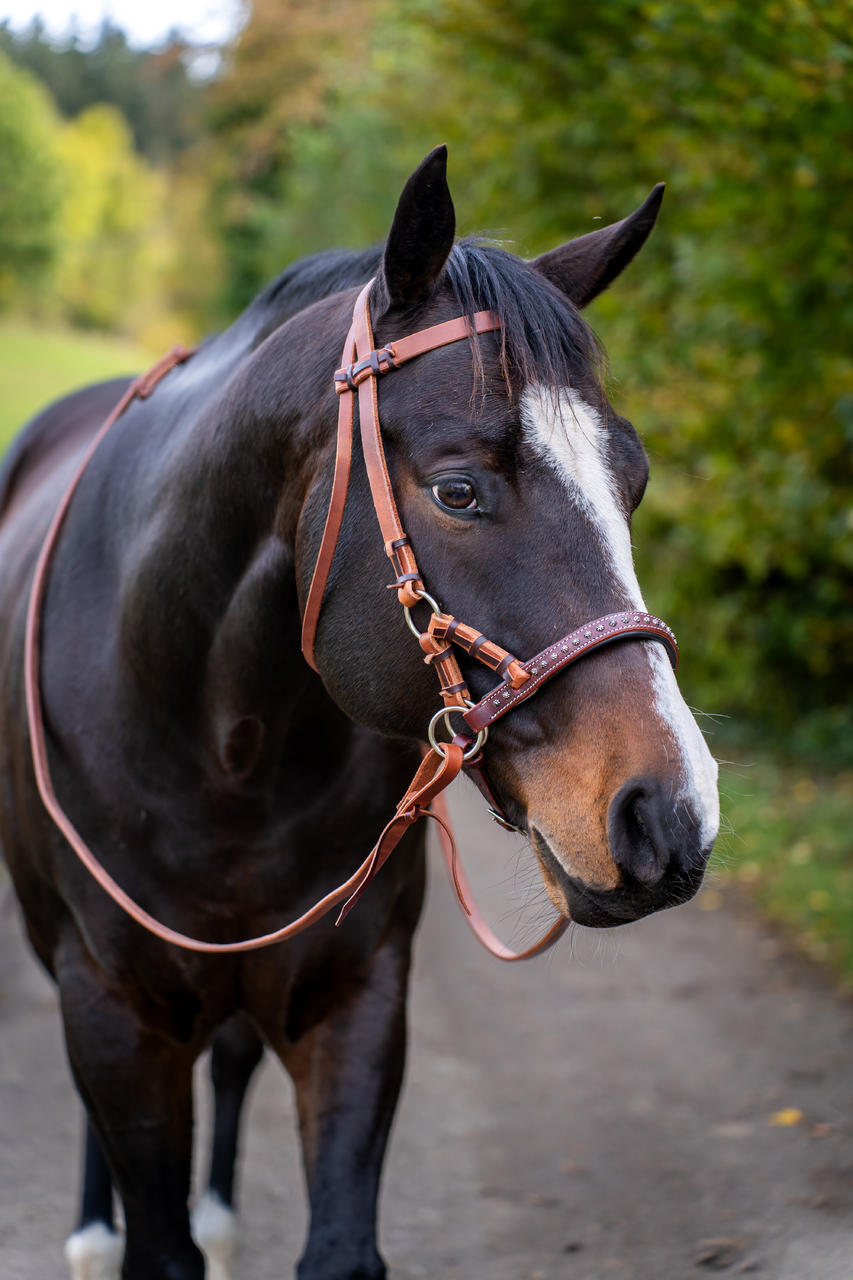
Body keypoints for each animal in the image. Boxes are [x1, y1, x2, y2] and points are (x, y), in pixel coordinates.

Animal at [0, 145, 717, 1274]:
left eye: (632, 483)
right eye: (458, 490)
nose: (668, 812)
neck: (224, 739)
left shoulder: (356, 996)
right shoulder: (111, 1013)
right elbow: (155, 1236)